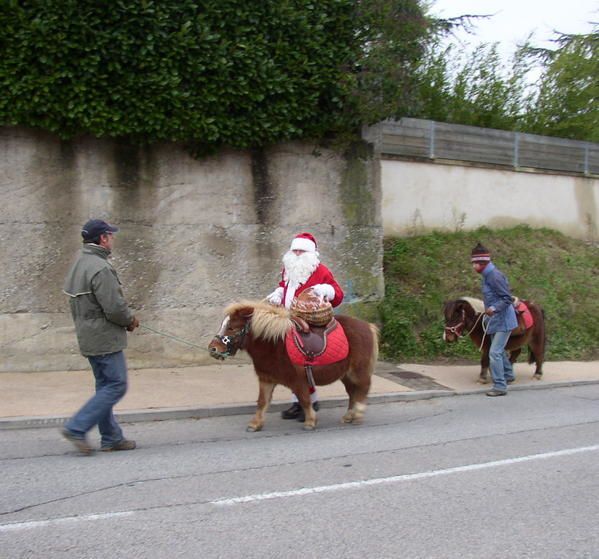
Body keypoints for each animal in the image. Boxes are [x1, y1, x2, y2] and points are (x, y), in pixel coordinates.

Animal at [210, 302, 380, 434]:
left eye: (231, 328)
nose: (212, 349)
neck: (274, 344)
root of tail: (368, 326)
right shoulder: (266, 379)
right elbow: (262, 402)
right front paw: (255, 424)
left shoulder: (298, 381)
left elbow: (304, 400)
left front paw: (310, 421)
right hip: (346, 374)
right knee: (352, 392)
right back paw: (349, 416)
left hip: (358, 371)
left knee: (363, 388)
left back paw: (358, 415)